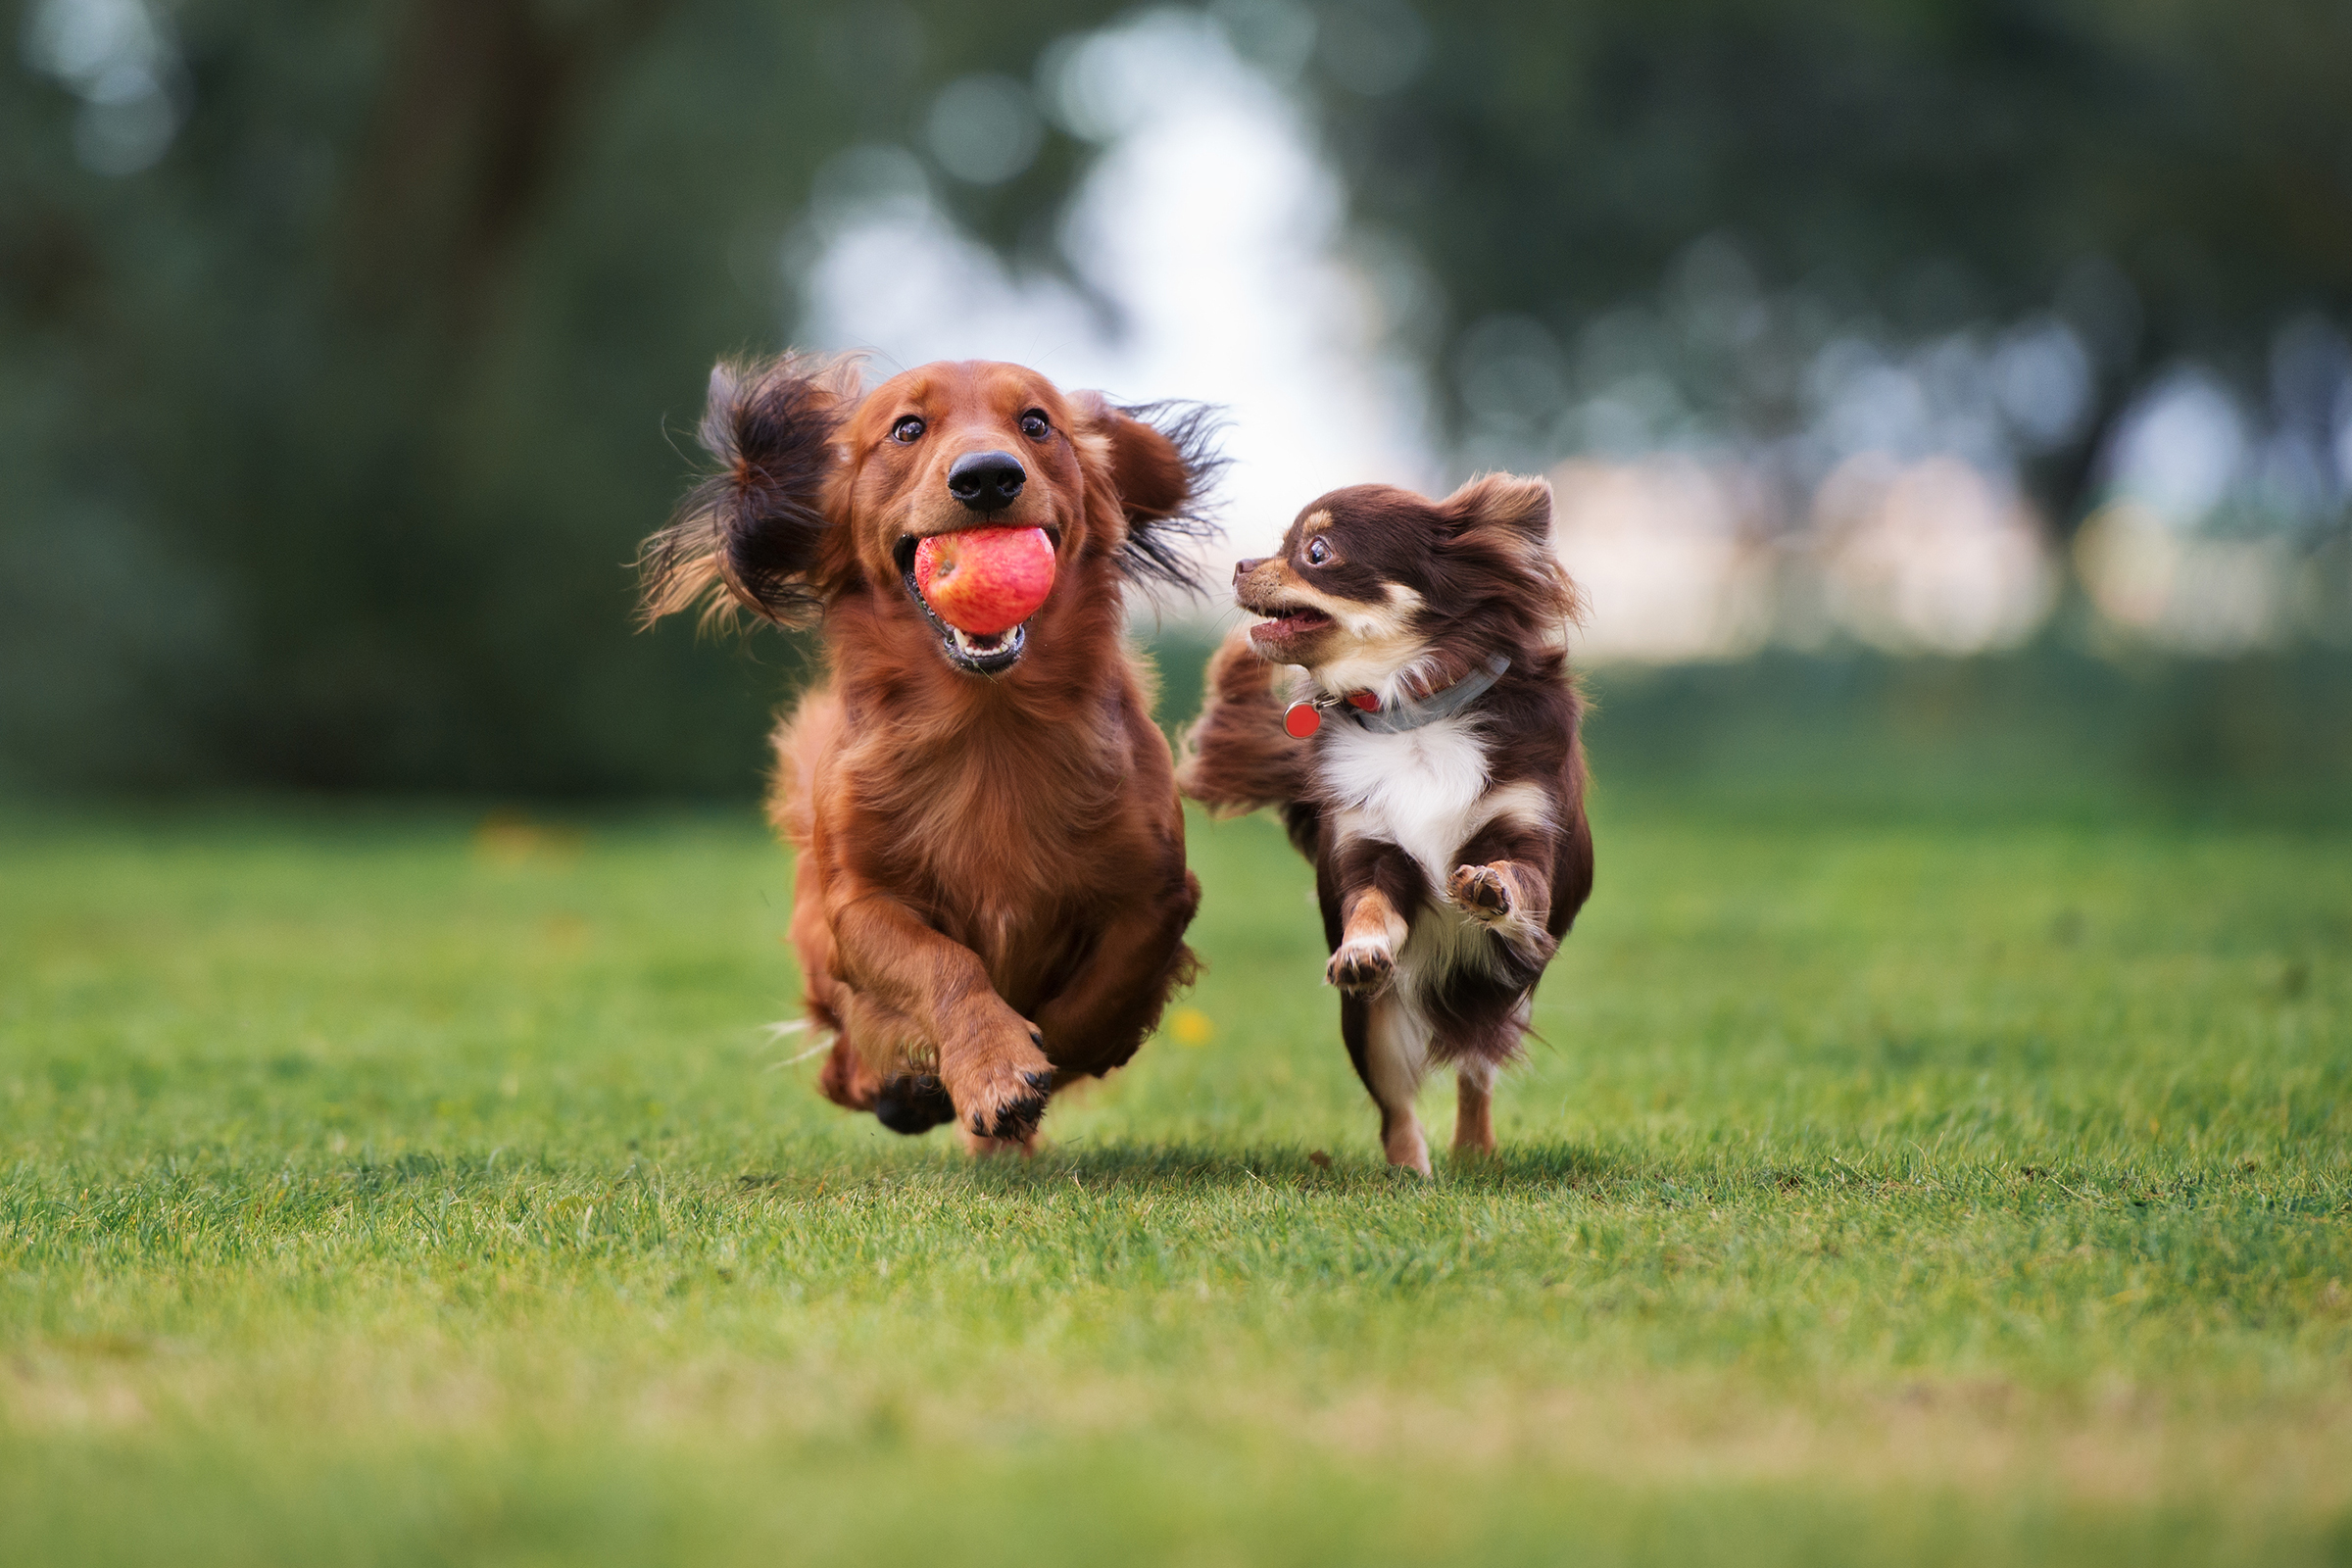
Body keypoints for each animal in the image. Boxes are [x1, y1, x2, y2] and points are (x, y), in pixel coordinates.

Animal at [1176, 479, 1599, 1175]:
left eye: (1316, 551)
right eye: (1283, 544)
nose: (1239, 564)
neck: (1412, 716)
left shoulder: (1527, 835)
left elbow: (1516, 876)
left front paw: (1488, 887)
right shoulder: (1370, 850)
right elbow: (1372, 906)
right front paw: (1362, 949)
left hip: (1503, 995)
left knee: (1475, 1070)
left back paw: (1475, 1153)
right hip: (1372, 1027)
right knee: (1397, 1107)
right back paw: (1409, 1174)